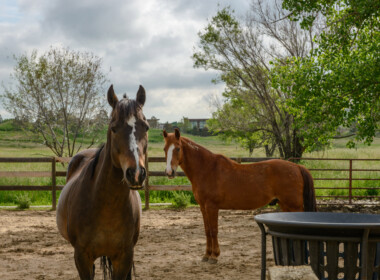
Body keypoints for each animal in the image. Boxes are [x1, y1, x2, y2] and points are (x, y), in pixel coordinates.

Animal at [162, 128, 316, 264]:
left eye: (177, 148)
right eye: (164, 149)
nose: (170, 172)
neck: (207, 169)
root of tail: (297, 167)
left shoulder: (212, 207)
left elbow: (214, 231)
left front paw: (214, 256)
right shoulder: (203, 207)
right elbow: (207, 231)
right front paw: (206, 255)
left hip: (294, 205)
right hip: (285, 205)